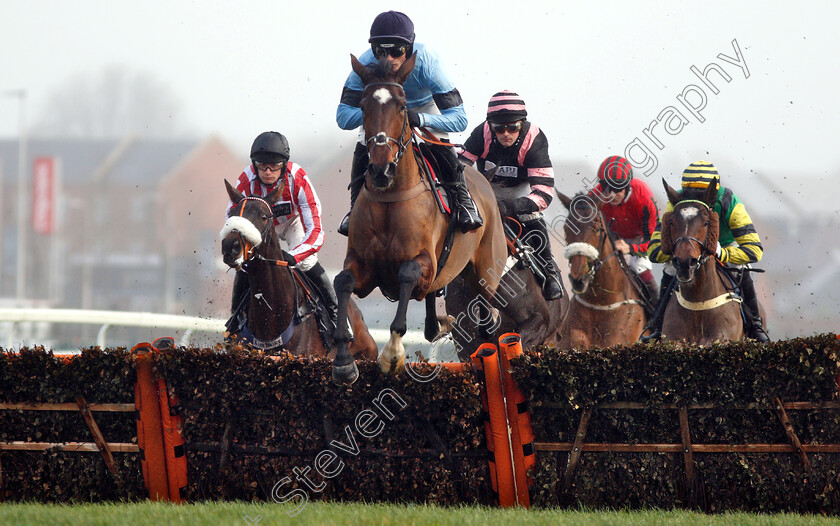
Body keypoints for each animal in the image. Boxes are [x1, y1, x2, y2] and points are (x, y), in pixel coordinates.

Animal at [332, 53, 548, 384]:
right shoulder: (363, 266)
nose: (381, 170)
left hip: (486, 269)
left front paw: (393, 354)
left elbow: (407, 274)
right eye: (364, 106)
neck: (390, 197)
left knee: (487, 313)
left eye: (402, 106)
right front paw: (344, 363)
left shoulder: (425, 263)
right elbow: (342, 280)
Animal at [656, 180, 760, 346]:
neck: (699, 306)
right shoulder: (673, 340)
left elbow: (753, 246)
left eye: (706, 222)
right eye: (671, 222)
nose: (685, 264)